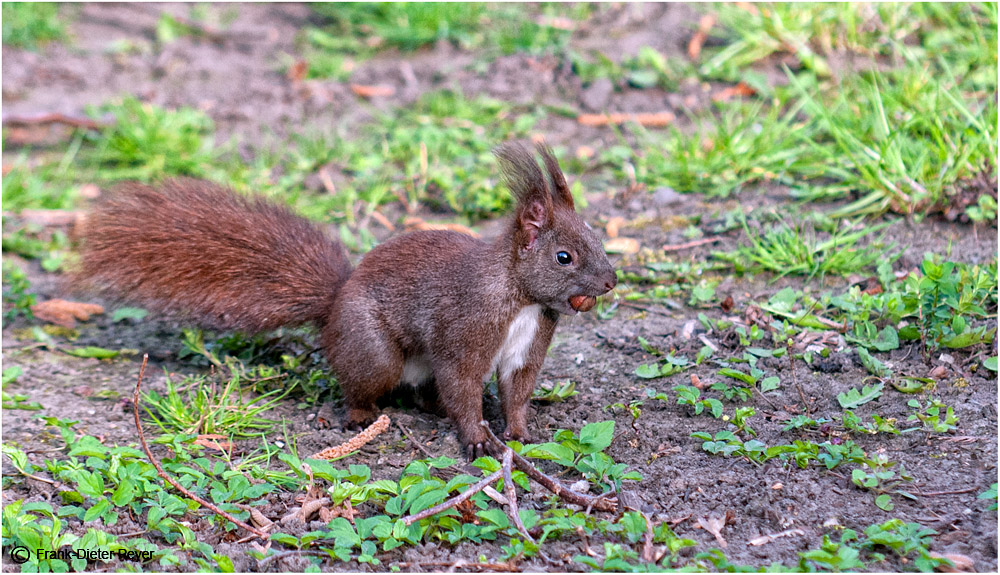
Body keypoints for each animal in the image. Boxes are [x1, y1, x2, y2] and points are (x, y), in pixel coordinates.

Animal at [80, 142, 616, 456]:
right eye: (564, 257)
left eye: (597, 236)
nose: (610, 282)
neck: (519, 296)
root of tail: (334, 305)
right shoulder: (466, 328)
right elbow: (462, 386)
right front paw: (479, 438)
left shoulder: (528, 343)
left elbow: (517, 389)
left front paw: (521, 432)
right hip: (373, 351)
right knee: (366, 385)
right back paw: (361, 417)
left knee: (423, 391)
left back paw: (428, 406)